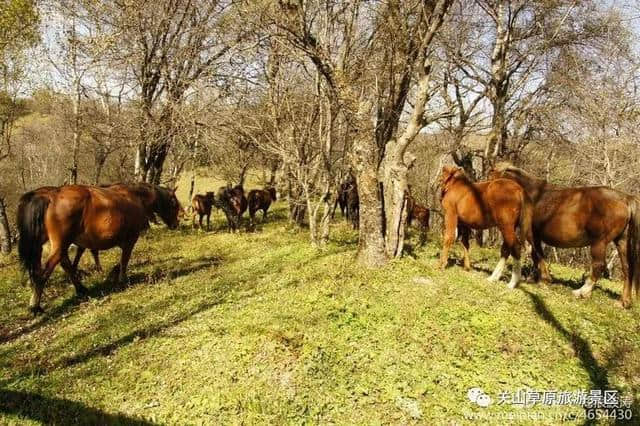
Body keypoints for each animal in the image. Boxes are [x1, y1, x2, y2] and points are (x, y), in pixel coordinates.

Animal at [16, 181, 180, 314]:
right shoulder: (130, 240)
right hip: (60, 245)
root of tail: (51, 196)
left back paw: (80, 289)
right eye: (175, 205)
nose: (175, 225)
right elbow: (124, 260)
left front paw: (113, 274)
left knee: (64, 265)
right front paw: (122, 279)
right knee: (44, 273)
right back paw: (35, 306)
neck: (135, 198)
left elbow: (120, 261)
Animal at [490, 161, 640, 308]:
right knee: (627, 268)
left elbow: (538, 254)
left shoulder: (532, 234)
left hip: (599, 242)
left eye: (492, 176)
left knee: (599, 265)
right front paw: (535, 278)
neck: (534, 195)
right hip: (621, 241)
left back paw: (582, 292)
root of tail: (626, 198)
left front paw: (544, 280)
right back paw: (624, 302)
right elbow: (534, 255)